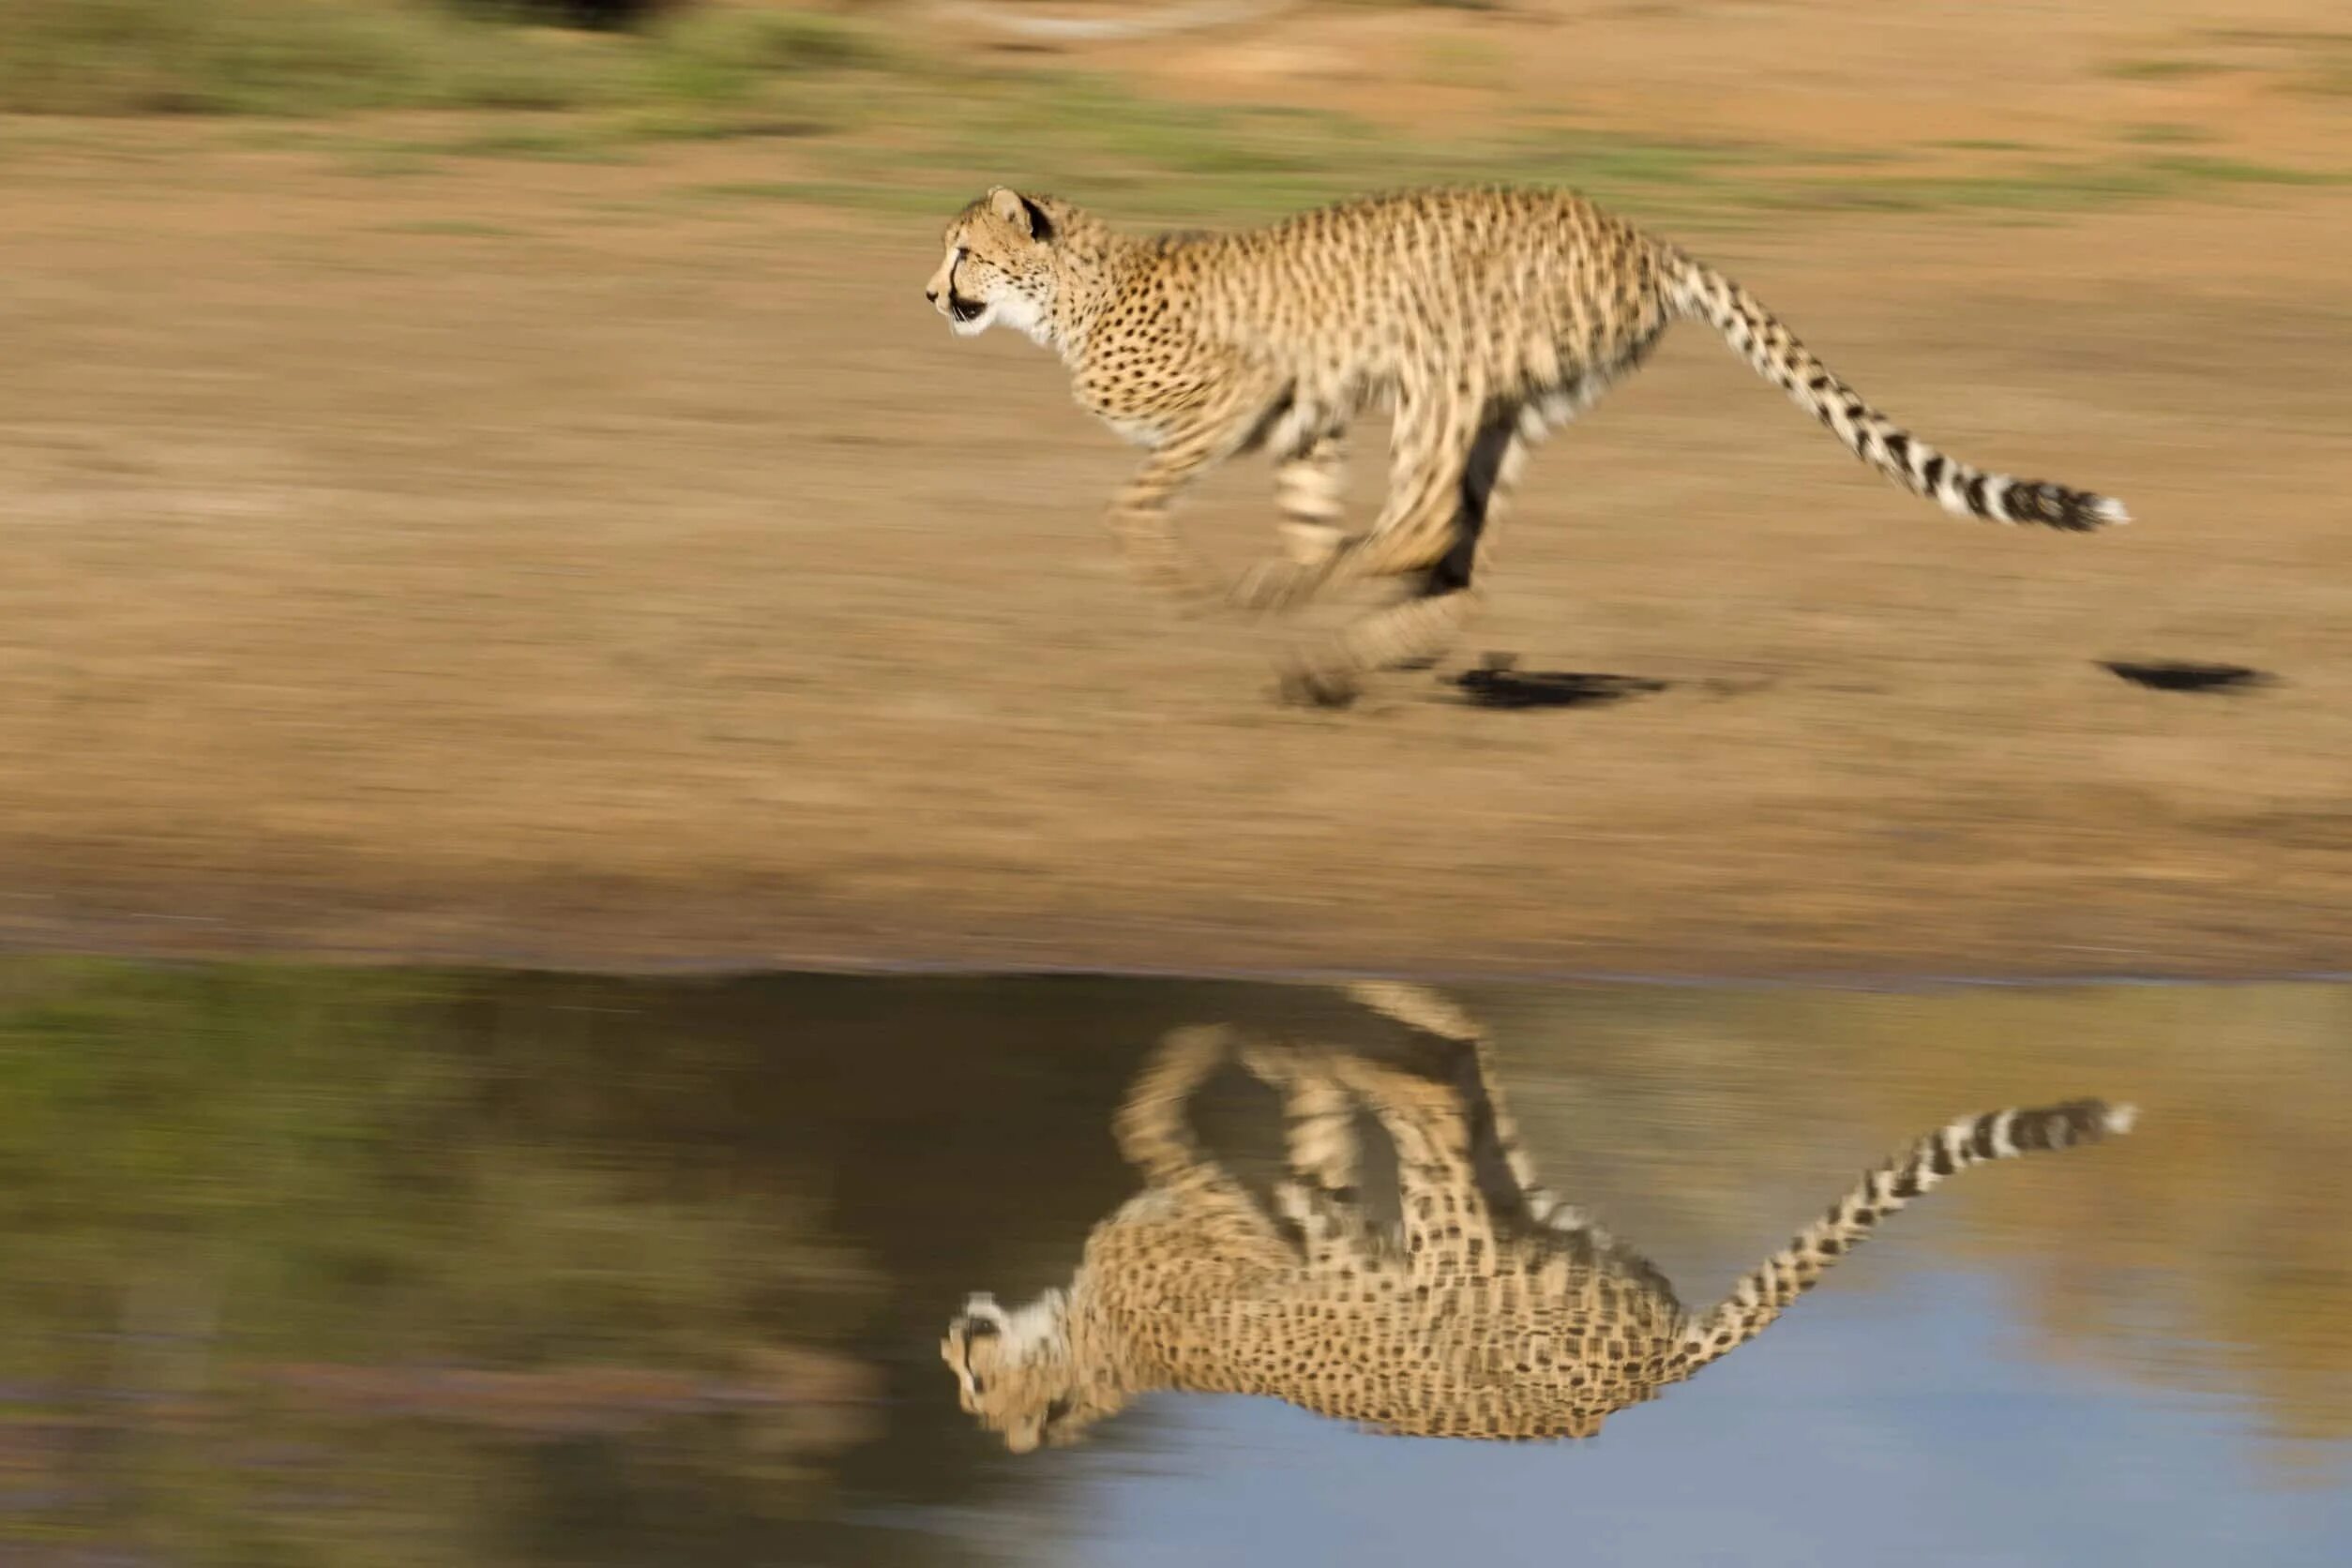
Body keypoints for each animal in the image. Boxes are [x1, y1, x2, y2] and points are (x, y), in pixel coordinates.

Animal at [924, 184, 2129, 706]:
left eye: (963, 252)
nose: (930, 293)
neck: (1076, 288)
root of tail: (1639, 231)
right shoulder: (1307, 416)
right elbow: (1298, 506)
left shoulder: (1248, 389)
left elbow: (1133, 501)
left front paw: (1193, 581)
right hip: (1510, 407)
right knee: (1458, 561)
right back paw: (1343, 642)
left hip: (1439, 360)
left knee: (1420, 528)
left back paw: (1311, 609)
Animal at [940, 980, 2136, 1451]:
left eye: (974, 1389)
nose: (952, 1342)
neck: (1090, 1345)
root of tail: (1644, 1378)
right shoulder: (1286, 1210)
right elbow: (1302, 1151)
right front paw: (1265, 1067)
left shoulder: (1233, 1215)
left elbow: (1147, 1113)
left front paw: (1205, 1049)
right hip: (1517, 1223)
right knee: (1460, 1074)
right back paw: (1371, 1030)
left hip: (1457, 1237)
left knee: (1439, 1082)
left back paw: (1352, 1025)